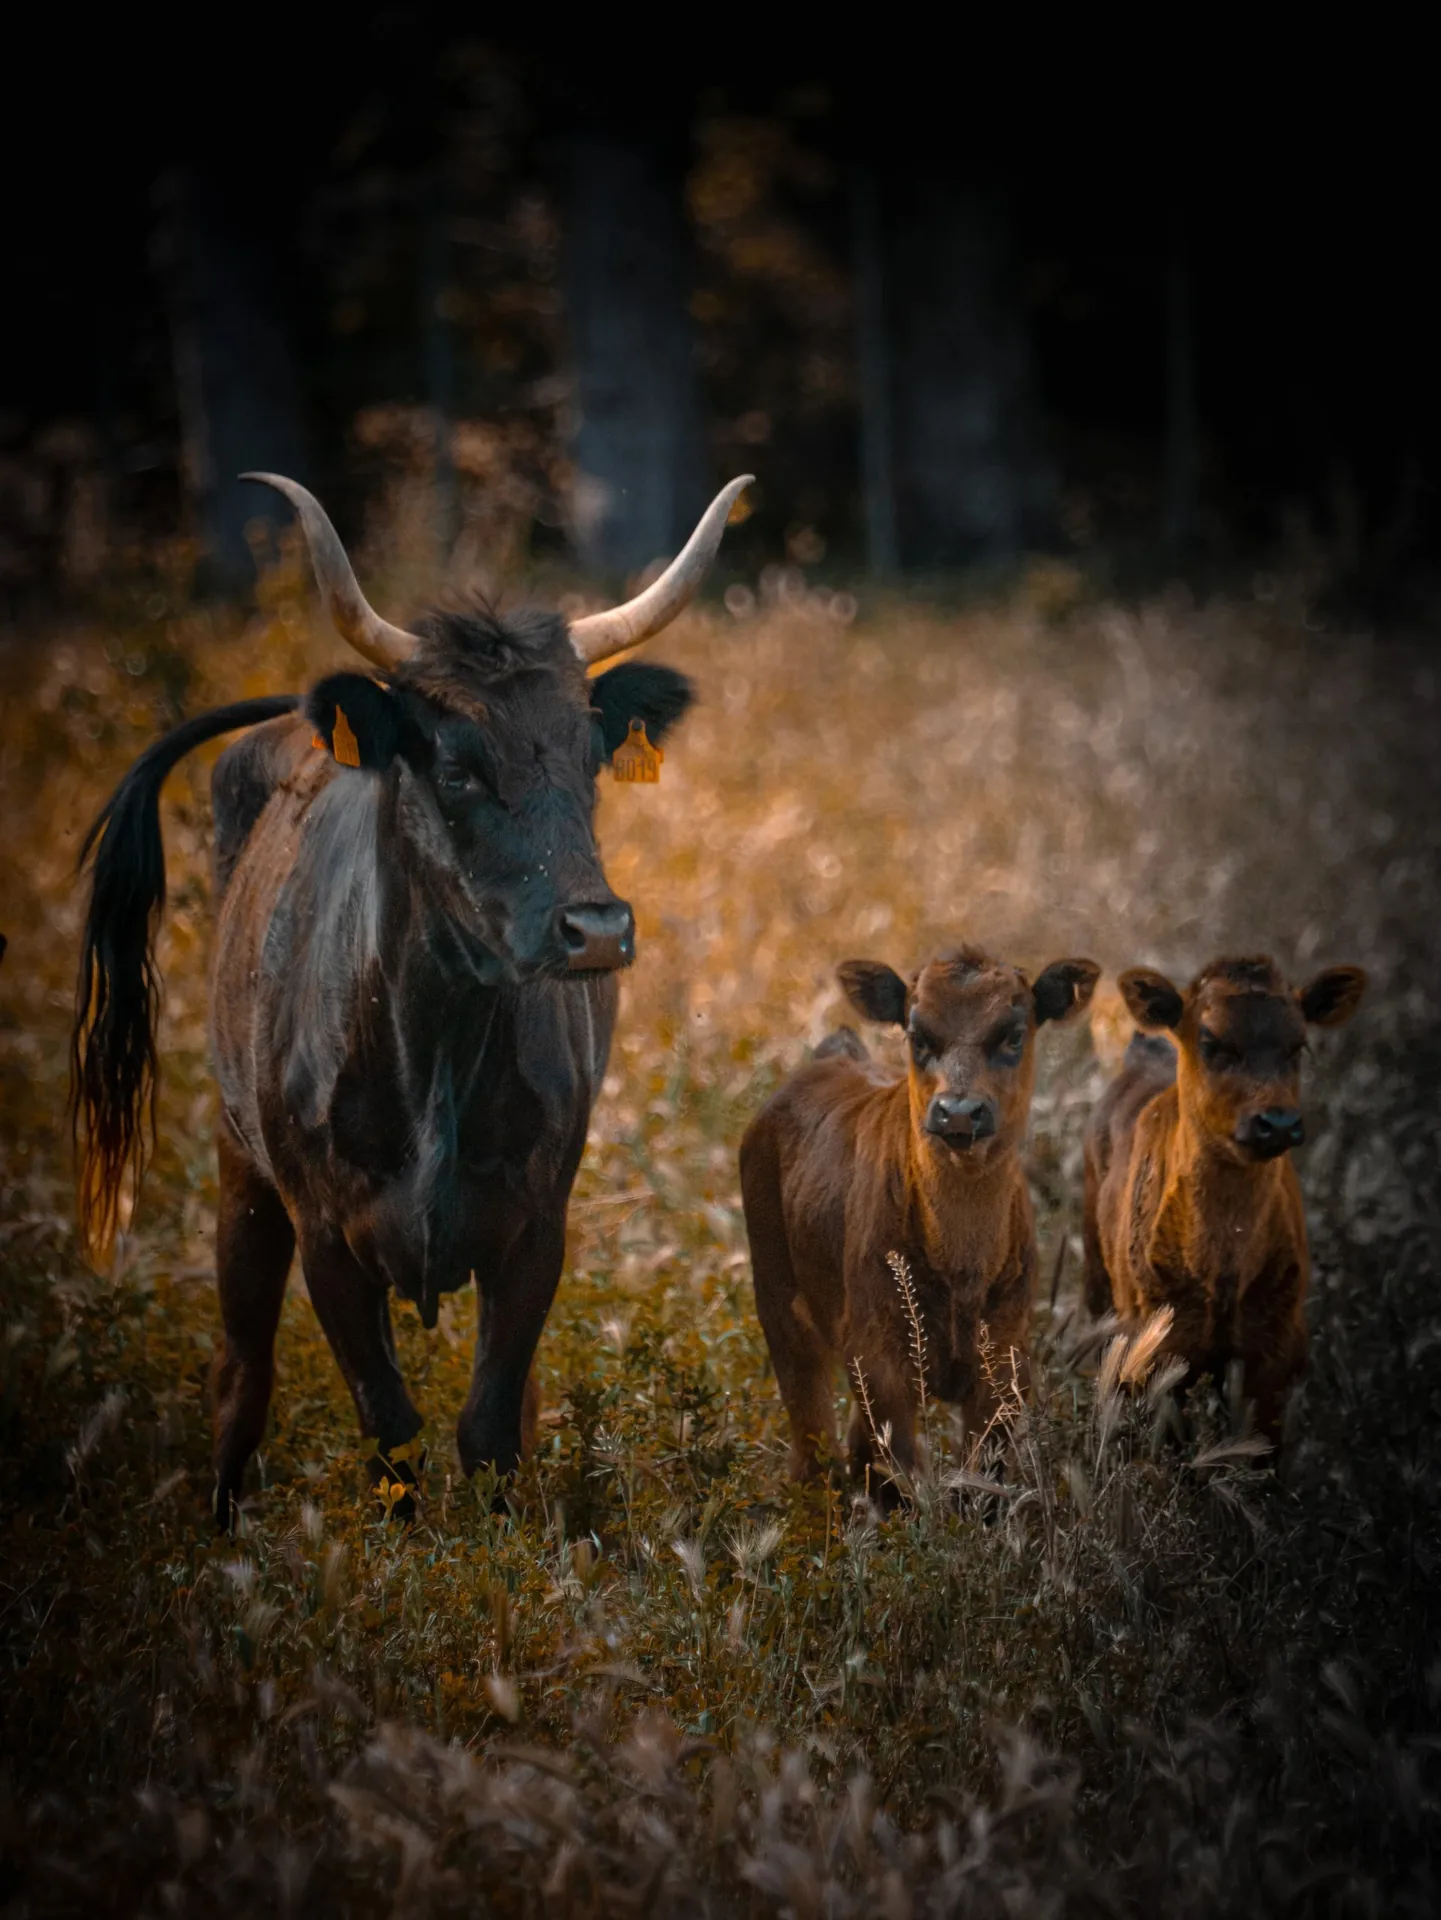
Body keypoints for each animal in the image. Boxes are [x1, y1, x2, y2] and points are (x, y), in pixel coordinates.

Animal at [71, 469, 752, 1524]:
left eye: (588, 757)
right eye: (458, 768)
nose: (597, 930)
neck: (433, 1045)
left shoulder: (536, 1229)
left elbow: (489, 1425)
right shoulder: (326, 1236)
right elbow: (390, 1432)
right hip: (238, 1167)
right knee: (241, 1368)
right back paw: (222, 1520)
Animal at [740, 946, 1099, 1497]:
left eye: (1014, 1034)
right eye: (917, 1034)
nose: (959, 1112)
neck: (962, 1269)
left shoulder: (1005, 1363)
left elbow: (981, 1484)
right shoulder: (878, 1359)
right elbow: (901, 1483)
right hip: (779, 1303)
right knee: (813, 1446)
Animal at [1082, 955, 1366, 1442]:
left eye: (1299, 1045)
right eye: (1211, 1040)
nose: (1277, 1122)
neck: (1223, 1268)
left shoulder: (1275, 1351)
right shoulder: (1160, 1349)